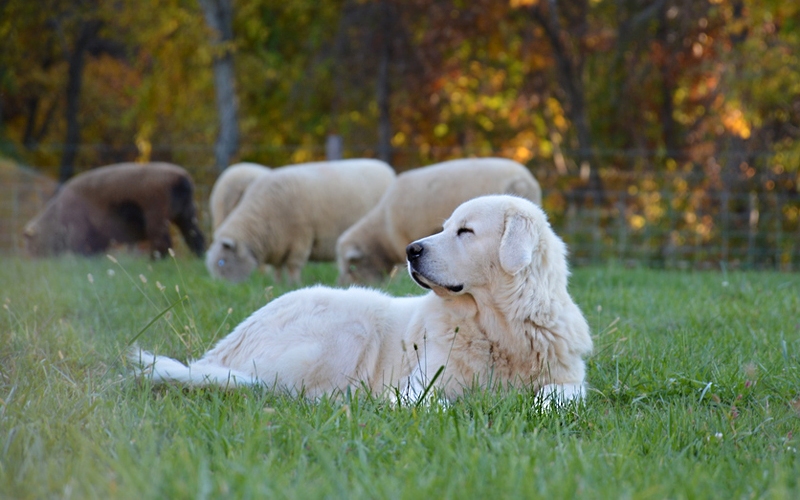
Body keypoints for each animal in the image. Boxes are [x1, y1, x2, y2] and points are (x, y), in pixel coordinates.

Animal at [25, 163, 206, 258]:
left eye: (31, 243)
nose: (31, 260)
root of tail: (181, 179)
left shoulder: (79, 230)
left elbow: (82, 249)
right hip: (187, 214)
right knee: (196, 237)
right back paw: (200, 256)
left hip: (156, 213)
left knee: (163, 242)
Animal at [206, 158, 394, 284]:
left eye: (222, 262)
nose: (220, 287)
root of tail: (384, 167)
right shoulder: (278, 243)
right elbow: (278, 268)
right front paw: (278, 284)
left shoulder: (300, 238)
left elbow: (293, 265)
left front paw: (293, 284)